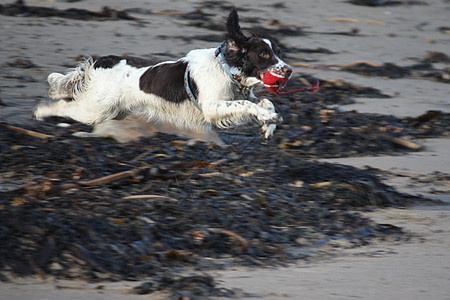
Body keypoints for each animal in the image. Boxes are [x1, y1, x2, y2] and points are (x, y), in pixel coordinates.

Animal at [33, 7, 294, 141]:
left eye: (279, 52)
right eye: (263, 54)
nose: (289, 71)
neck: (226, 69)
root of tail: (103, 60)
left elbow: (265, 102)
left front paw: (268, 125)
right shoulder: (211, 107)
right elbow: (248, 104)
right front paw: (268, 118)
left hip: (112, 111)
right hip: (95, 110)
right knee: (65, 106)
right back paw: (41, 112)